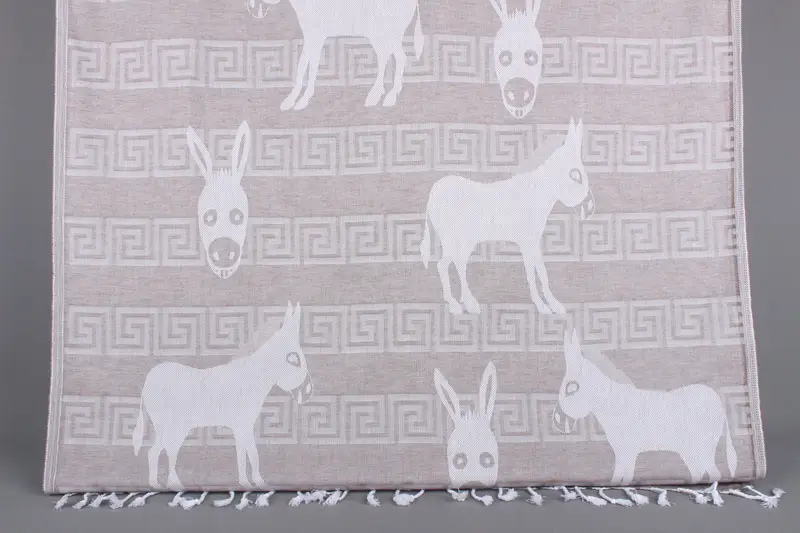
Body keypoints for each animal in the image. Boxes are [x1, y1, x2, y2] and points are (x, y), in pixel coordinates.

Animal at [132, 302, 313, 490]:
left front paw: (249, 483)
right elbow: (250, 454)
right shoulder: (243, 425)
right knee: (167, 450)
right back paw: (173, 484)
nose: (308, 392)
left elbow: (245, 454)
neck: (251, 379)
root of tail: (148, 381)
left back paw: (158, 485)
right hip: (173, 425)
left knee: (155, 451)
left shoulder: (242, 426)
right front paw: (256, 483)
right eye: (294, 359)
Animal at [247, 0, 424, 110]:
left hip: (387, 33)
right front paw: (291, 101)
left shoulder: (316, 36)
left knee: (399, 57)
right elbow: (304, 65)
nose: (250, 8)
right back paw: (380, 94)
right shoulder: (310, 36)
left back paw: (387, 96)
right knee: (388, 57)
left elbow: (310, 66)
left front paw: (301, 101)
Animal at [420, 118, 595, 315]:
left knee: (458, 263)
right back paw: (456, 305)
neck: (534, 194)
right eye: (576, 174)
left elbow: (540, 271)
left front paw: (554, 305)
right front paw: (542, 305)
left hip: (464, 240)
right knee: (443, 265)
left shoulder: (532, 241)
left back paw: (468, 303)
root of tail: (434, 192)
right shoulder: (527, 242)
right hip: (453, 239)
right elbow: (532, 272)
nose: (591, 209)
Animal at [552, 328, 738, 485]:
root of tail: (718, 401)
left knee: (714, 473)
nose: (556, 420)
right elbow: (622, 477)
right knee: (698, 473)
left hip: (703, 448)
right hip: (689, 451)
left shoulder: (627, 451)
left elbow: (621, 477)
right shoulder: (623, 452)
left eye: (571, 387)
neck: (615, 406)